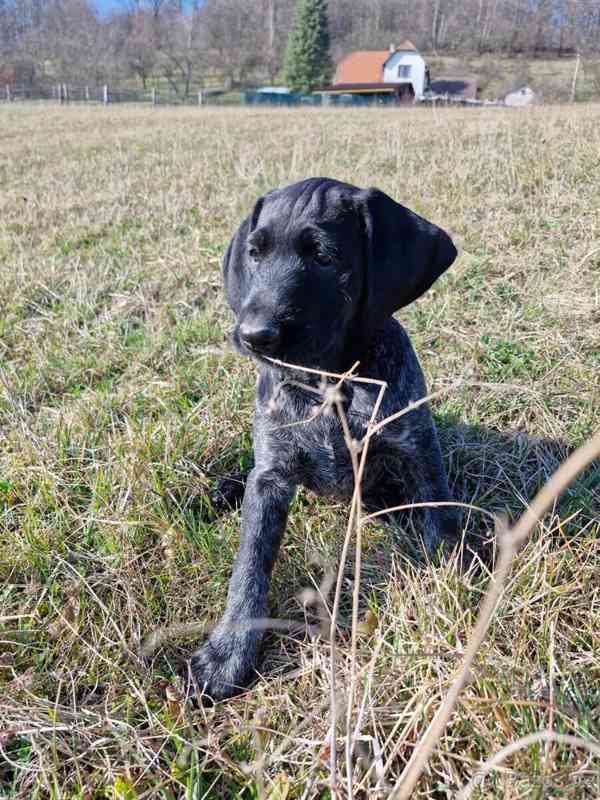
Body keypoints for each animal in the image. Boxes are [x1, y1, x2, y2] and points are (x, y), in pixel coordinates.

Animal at [191, 177, 460, 700]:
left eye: (324, 257)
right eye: (255, 253)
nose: (253, 335)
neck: (328, 383)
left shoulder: (418, 449)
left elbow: (440, 521)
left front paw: (455, 586)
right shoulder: (271, 478)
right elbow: (249, 567)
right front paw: (229, 651)